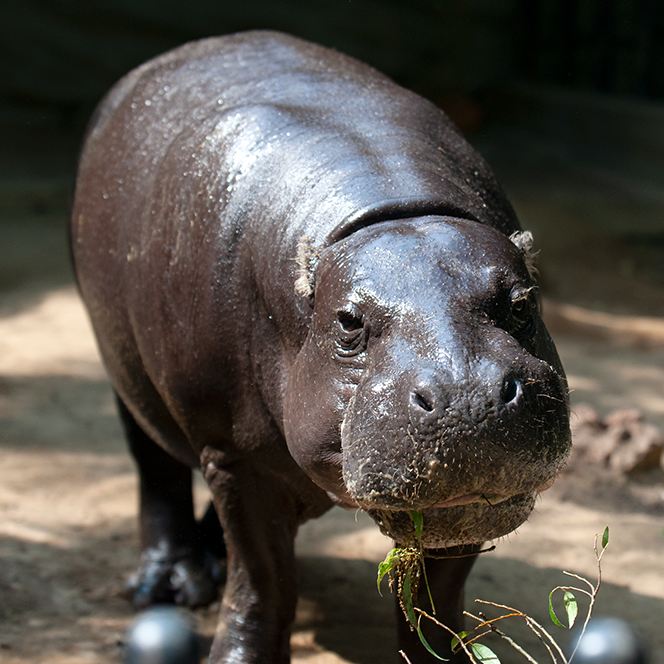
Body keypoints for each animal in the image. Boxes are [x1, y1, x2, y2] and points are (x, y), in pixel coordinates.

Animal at [71, 29, 572, 664]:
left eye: (522, 303)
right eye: (348, 321)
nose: (470, 397)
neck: (395, 215)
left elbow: (436, 601)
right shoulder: (231, 455)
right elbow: (263, 581)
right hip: (129, 376)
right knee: (156, 470)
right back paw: (168, 584)